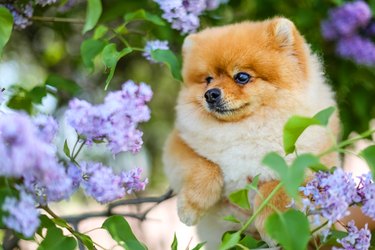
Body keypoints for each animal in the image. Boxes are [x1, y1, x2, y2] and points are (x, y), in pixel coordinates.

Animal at [164, 17, 340, 248]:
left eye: (242, 77)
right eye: (208, 79)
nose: (210, 94)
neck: (246, 129)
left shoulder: (312, 166)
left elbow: (274, 186)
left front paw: (275, 225)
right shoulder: (179, 143)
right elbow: (205, 165)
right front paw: (190, 206)